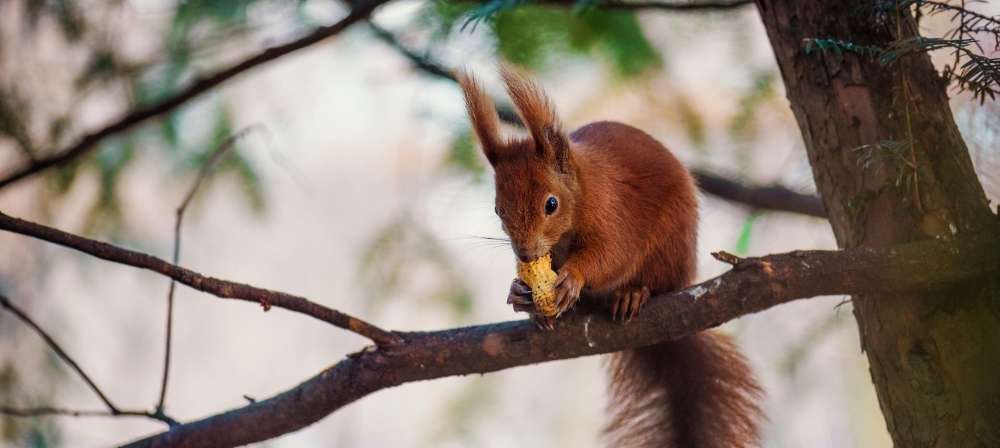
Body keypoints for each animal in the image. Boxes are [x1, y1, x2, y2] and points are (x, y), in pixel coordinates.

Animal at [460, 67, 764, 448]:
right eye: (498, 209)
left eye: (551, 204)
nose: (525, 252)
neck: (582, 191)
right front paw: (518, 291)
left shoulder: (613, 213)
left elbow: (611, 255)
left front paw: (573, 277)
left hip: (670, 252)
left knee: (655, 282)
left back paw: (632, 294)